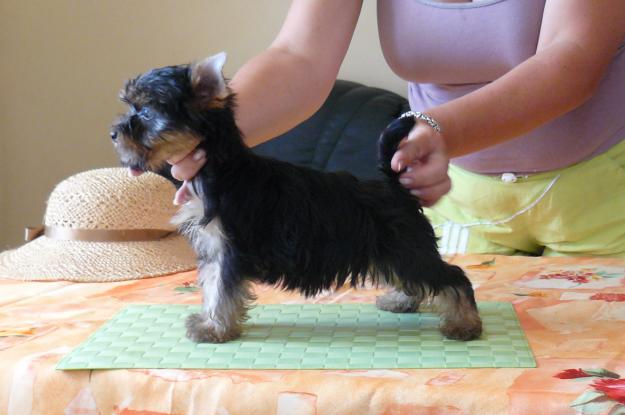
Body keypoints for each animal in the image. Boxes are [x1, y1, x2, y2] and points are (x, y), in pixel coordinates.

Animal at [110, 52, 483, 343]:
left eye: (146, 113)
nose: (113, 132)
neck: (221, 167)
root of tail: (394, 186)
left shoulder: (229, 249)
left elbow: (221, 289)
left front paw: (214, 328)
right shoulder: (215, 248)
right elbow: (213, 285)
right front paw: (209, 322)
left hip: (406, 246)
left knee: (452, 277)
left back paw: (464, 324)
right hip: (395, 251)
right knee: (413, 276)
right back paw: (403, 301)